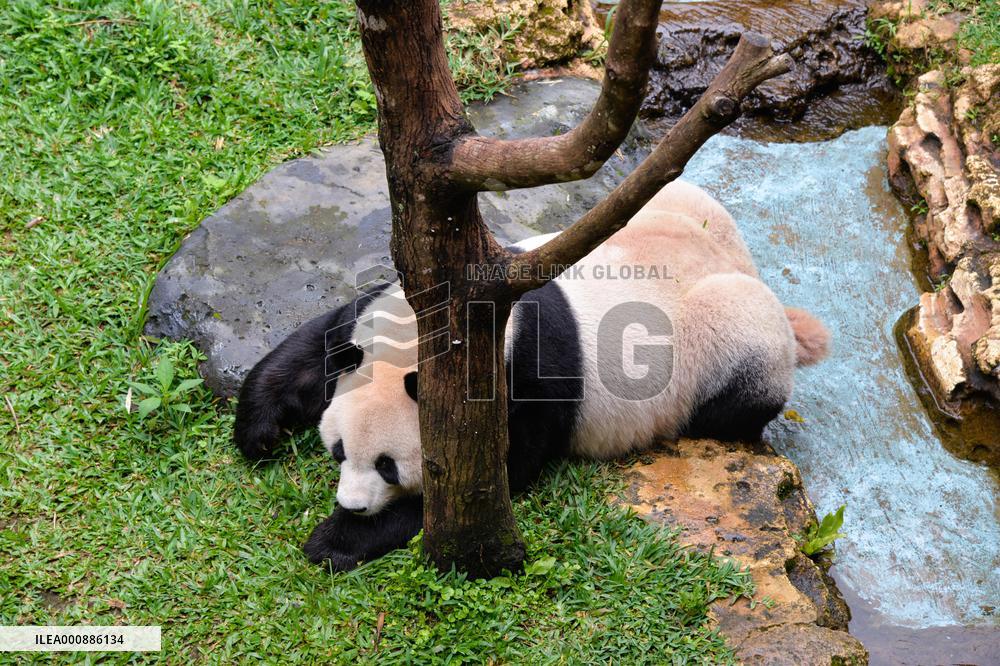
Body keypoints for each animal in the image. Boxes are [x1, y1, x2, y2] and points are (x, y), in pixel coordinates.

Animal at [234, 180, 830, 572]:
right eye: (337, 451)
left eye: (387, 466)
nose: (353, 504)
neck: (439, 333)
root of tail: (744, 266)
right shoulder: (381, 305)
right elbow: (312, 350)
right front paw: (259, 433)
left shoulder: (525, 379)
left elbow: (492, 477)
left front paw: (337, 539)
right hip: (677, 205)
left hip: (728, 335)